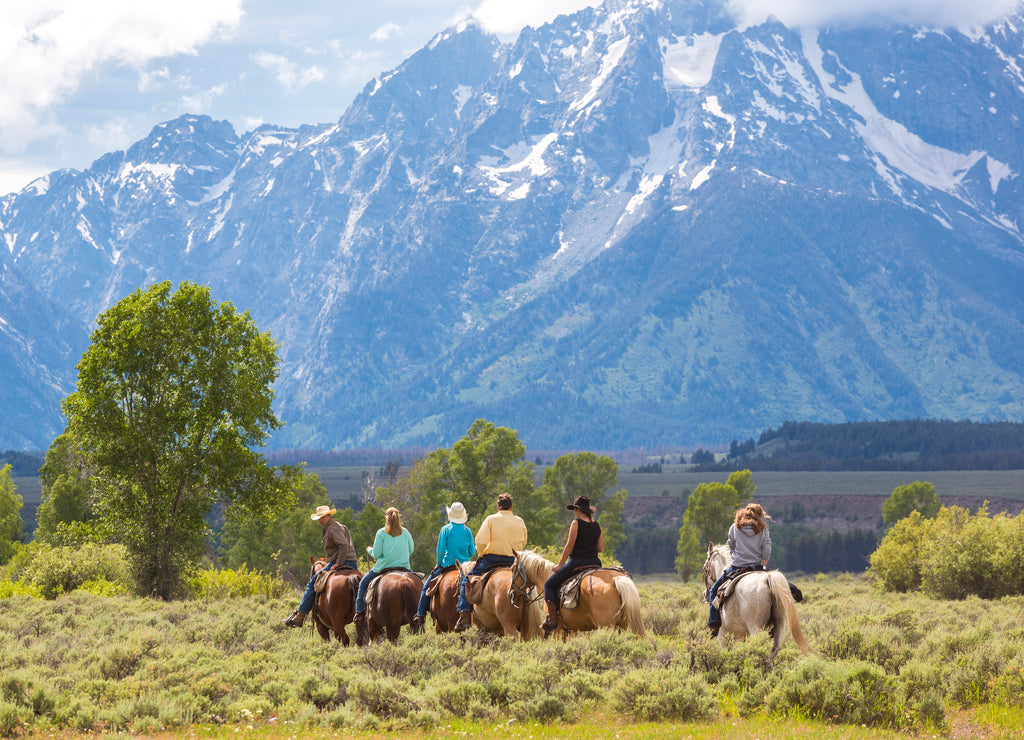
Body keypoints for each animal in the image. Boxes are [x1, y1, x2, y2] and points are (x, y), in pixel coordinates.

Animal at [512, 550, 645, 637]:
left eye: (513, 569)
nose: (511, 593)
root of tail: (616, 578)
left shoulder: (558, 630)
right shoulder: (569, 631)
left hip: (606, 626)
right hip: (622, 626)